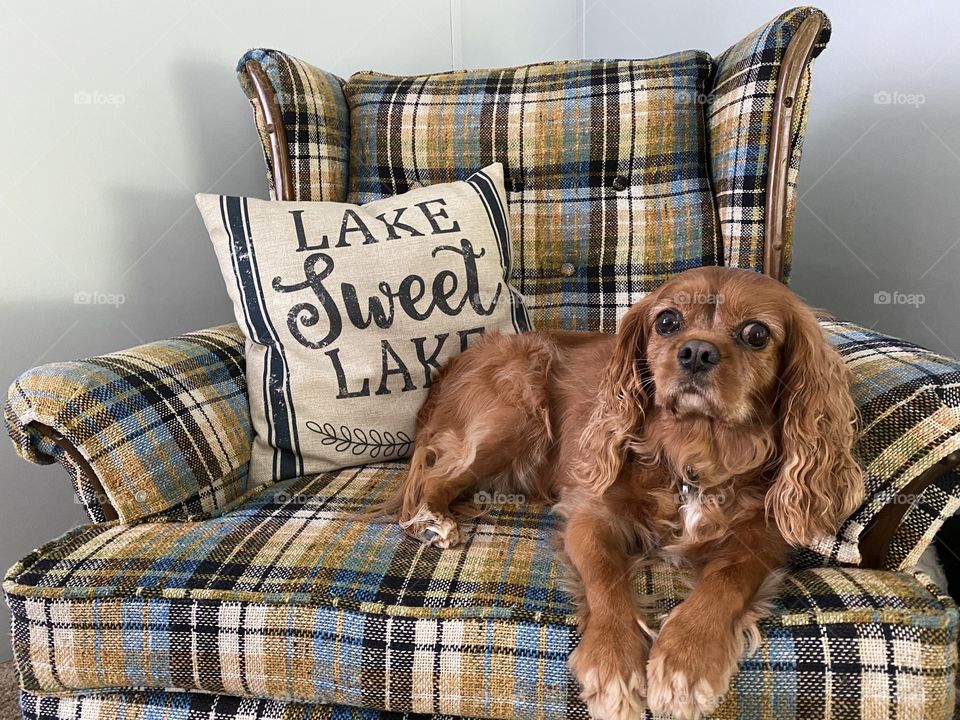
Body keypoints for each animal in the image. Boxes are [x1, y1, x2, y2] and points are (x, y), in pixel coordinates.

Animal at [378, 266, 868, 720]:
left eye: (756, 333)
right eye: (667, 322)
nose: (696, 351)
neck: (693, 455)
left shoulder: (760, 539)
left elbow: (726, 581)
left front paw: (686, 660)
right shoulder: (591, 515)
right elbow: (605, 576)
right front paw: (613, 661)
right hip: (514, 415)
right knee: (432, 479)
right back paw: (432, 521)